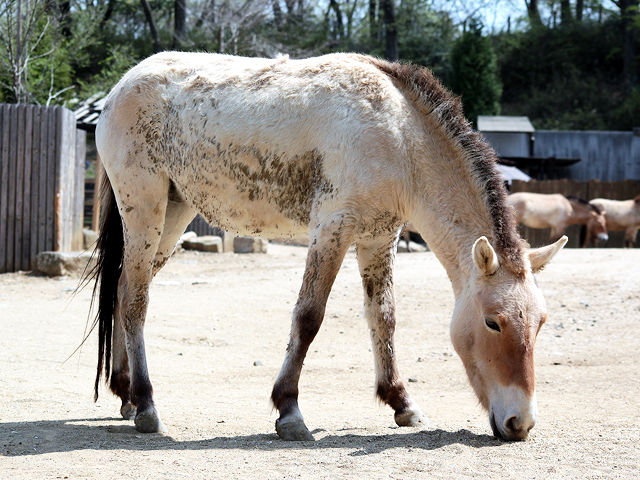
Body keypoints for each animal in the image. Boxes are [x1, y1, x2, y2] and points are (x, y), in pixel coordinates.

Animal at [89, 50, 564, 440]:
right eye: (492, 323)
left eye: (540, 323)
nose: (520, 423)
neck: (398, 134)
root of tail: (120, 88)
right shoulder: (333, 229)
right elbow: (308, 317)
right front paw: (289, 412)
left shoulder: (378, 237)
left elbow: (383, 317)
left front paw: (402, 403)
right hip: (145, 211)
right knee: (136, 301)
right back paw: (147, 406)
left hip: (172, 215)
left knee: (124, 290)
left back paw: (126, 394)